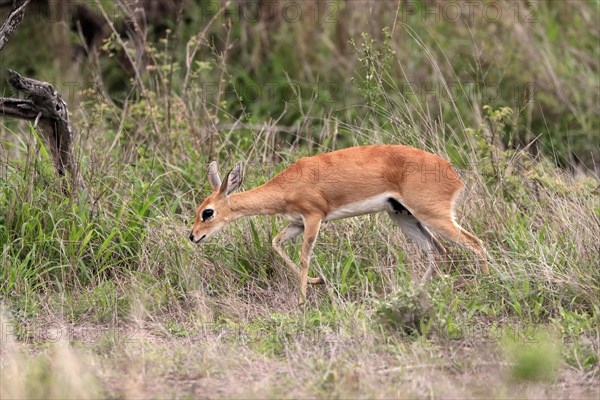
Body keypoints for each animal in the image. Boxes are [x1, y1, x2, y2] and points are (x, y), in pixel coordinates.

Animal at [190, 145, 490, 304]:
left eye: (207, 212)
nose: (193, 237)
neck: (285, 187)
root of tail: (454, 174)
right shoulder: (297, 223)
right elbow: (275, 243)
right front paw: (318, 281)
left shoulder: (314, 218)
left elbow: (304, 257)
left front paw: (302, 301)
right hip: (403, 215)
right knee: (438, 252)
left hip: (433, 215)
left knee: (475, 243)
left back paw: (485, 285)